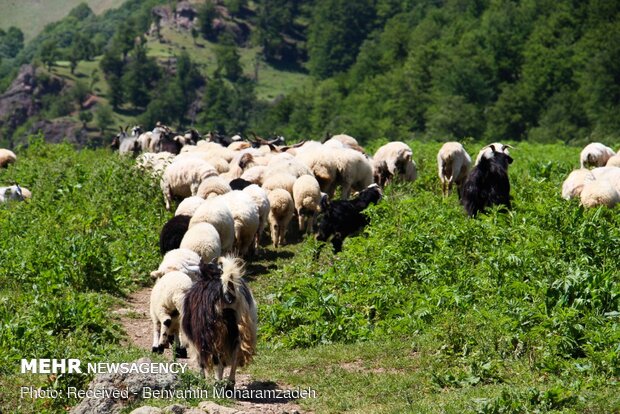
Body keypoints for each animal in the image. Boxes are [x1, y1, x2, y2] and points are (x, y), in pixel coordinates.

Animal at [180, 256, 258, 384]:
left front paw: (202, 378)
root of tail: (228, 291)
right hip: (242, 325)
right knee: (236, 352)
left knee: (218, 359)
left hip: (215, 331)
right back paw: (230, 383)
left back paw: (218, 382)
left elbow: (201, 359)